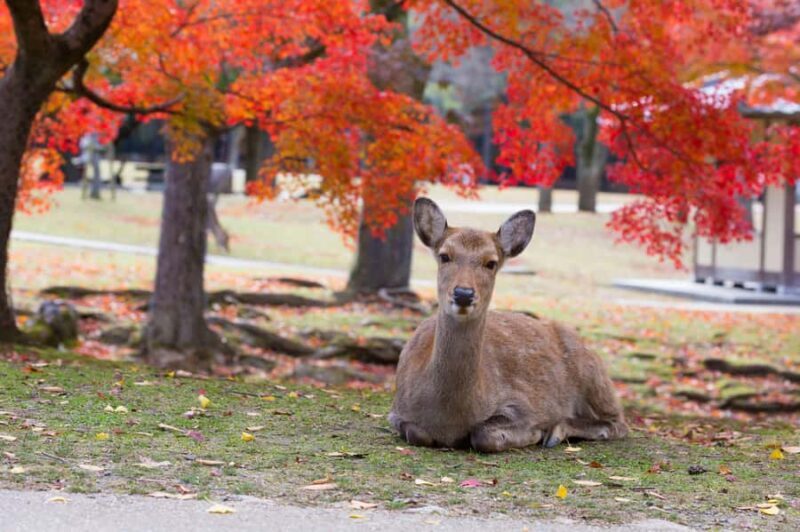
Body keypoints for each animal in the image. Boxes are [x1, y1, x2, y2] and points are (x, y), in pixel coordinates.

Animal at [388, 198, 628, 453]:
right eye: (444, 256)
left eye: (491, 263)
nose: (463, 294)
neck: (449, 420)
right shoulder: (396, 410)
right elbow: (416, 433)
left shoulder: (524, 403)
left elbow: (484, 434)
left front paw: (535, 432)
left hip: (595, 377)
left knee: (618, 423)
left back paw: (555, 432)